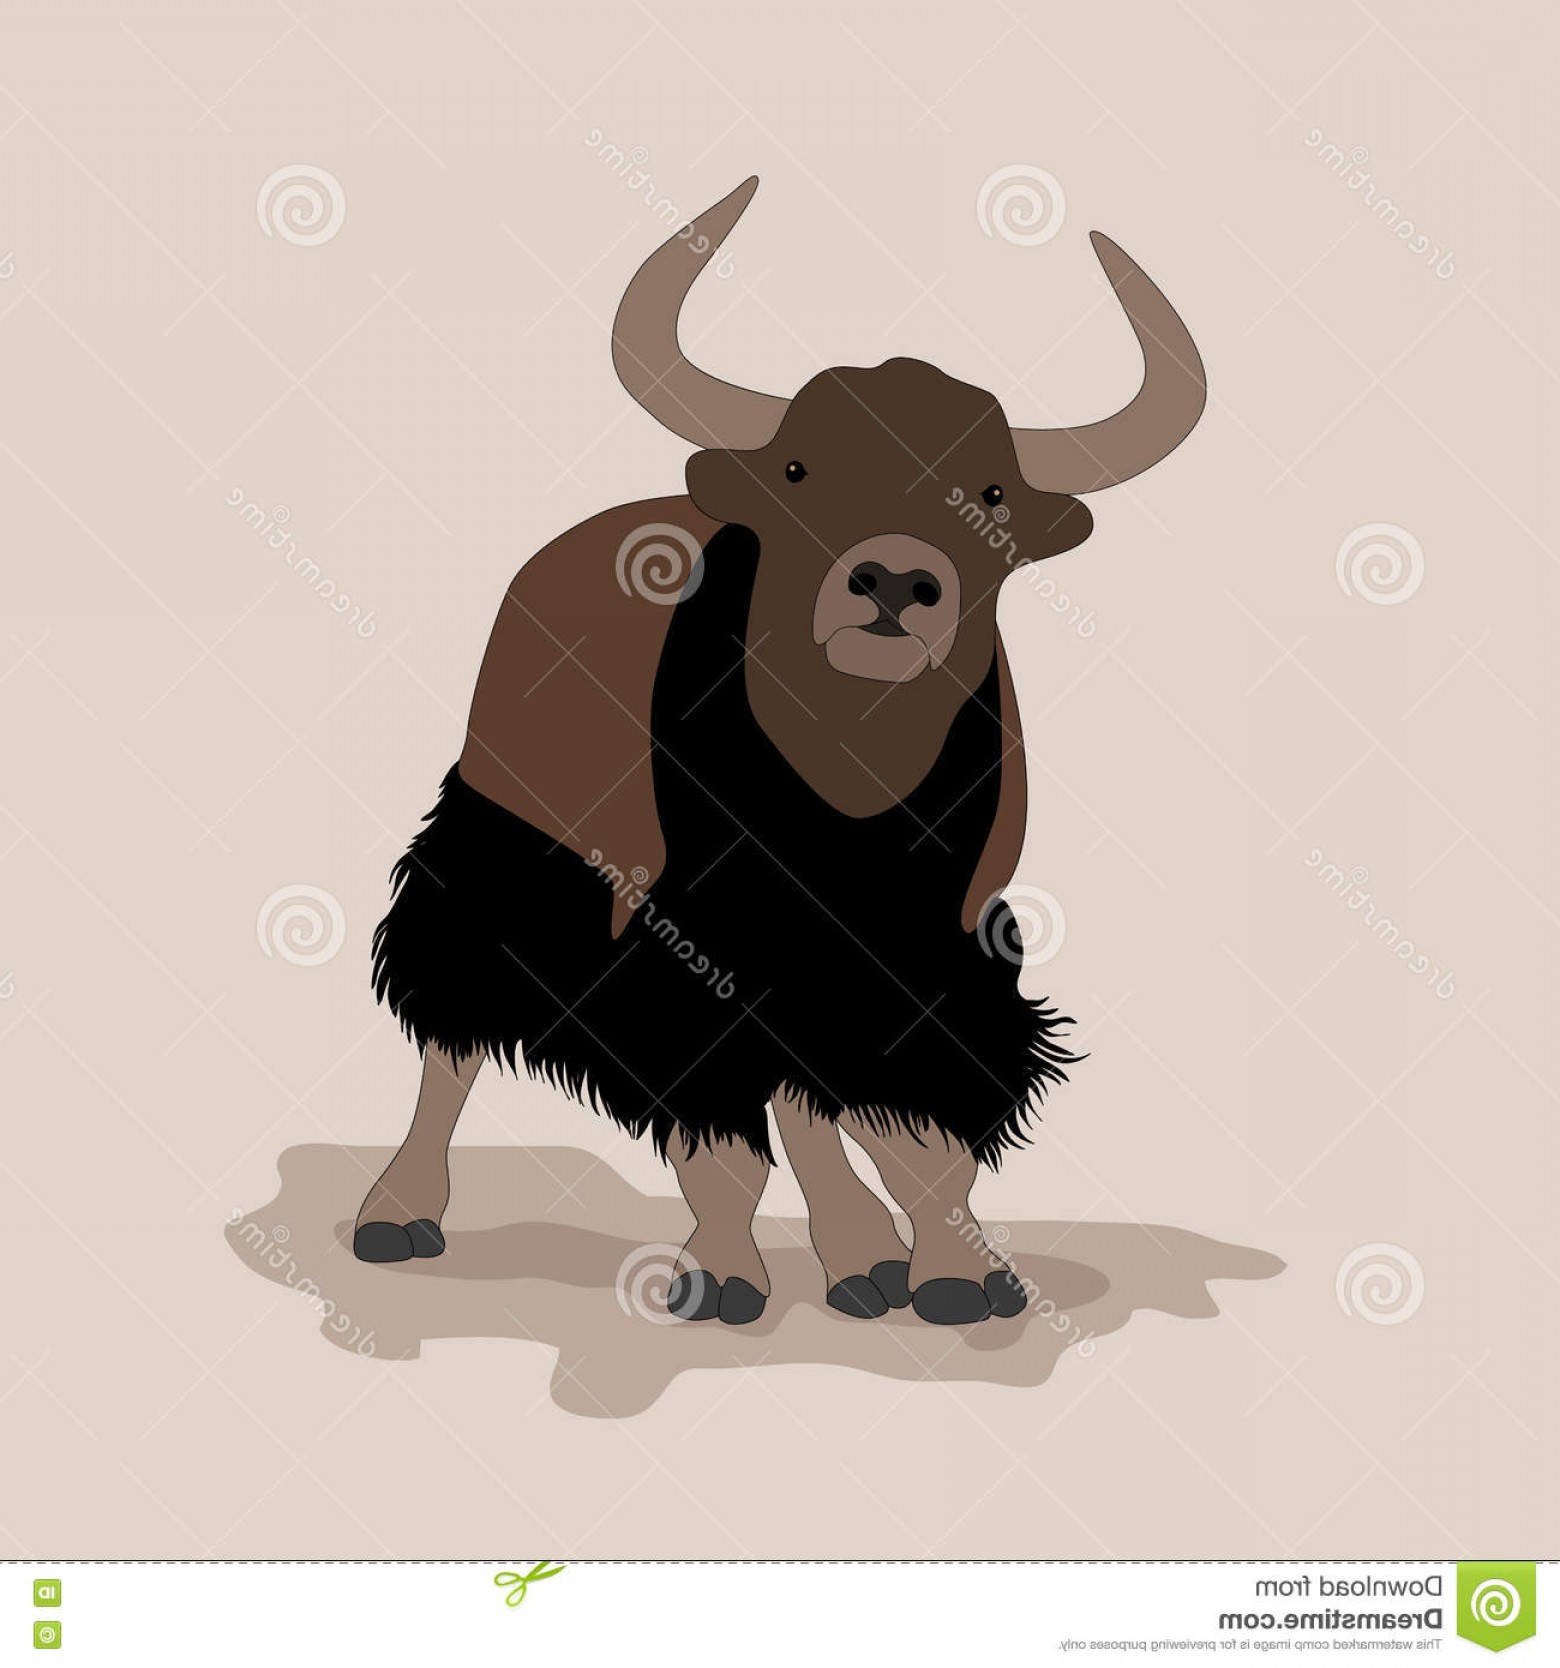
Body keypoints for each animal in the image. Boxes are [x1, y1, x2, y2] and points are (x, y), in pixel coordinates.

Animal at [356, 178, 1205, 1327]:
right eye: (801, 468)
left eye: (988, 494)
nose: (895, 582)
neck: (846, 784)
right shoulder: (692, 949)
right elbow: (724, 1138)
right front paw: (720, 1275)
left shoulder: (922, 953)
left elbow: (920, 1129)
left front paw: (957, 1272)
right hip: (497, 849)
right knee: (447, 1033)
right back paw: (397, 1211)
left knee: (809, 1103)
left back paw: (859, 1257)